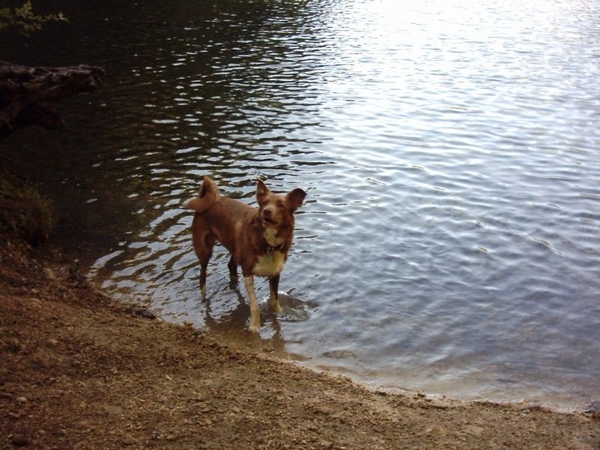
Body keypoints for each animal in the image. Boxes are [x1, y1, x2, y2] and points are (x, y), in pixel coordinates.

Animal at [186, 178, 308, 332]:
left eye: (281, 205)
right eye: (264, 203)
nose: (267, 211)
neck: (268, 244)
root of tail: (210, 201)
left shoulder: (275, 273)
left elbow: (274, 300)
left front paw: (280, 314)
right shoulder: (248, 272)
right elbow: (254, 305)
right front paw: (254, 327)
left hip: (235, 248)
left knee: (231, 265)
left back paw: (234, 284)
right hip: (204, 251)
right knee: (202, 275)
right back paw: (204, 295)